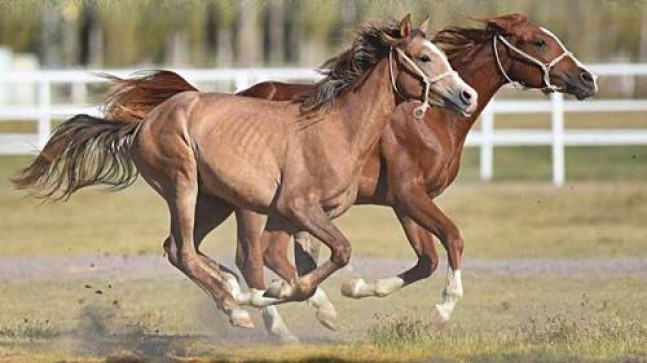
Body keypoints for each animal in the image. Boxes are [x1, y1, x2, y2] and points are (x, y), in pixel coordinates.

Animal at [11, 15, 476, 332]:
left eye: (444, 54)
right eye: (424, 57)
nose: (467, 95)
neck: (335, 129)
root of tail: (144, 123)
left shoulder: (288, 215)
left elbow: (290, 261)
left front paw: (279, 294)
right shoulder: (299, 208)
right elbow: (337, 253)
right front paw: (279, 295)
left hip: (215, 201)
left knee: (179, 249)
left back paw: (233, 290)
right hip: (183, 185)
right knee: (183, 251)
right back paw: (236, 309)